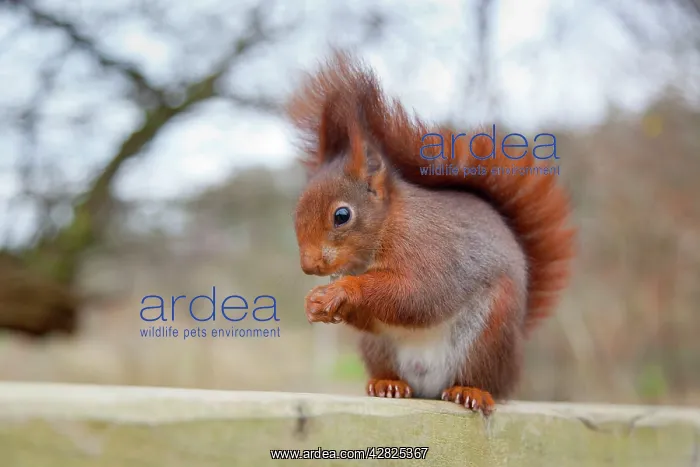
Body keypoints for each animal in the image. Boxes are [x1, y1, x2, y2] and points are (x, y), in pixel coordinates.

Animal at [286, 51, 575, 416]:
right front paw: (314, 301)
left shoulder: (430, 249)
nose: (309, 266)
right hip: (377, 347)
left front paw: (345, 289)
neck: (387, 227)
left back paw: (471, 391)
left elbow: (418, 294)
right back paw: (388, 384)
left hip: (489, 335)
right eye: (296, 213)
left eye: (342, 215)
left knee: (483, 379)